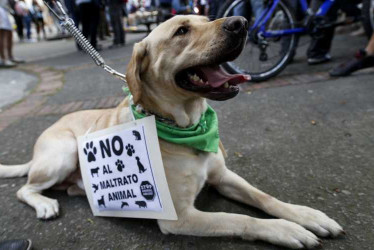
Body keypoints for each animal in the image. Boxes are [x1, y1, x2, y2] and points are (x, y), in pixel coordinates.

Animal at [0, 15, 344, 248]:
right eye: (182, 31)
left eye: (207, 19)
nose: (241, 22)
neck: (187, 125)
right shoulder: (181, 216)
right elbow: (241, 218)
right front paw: (285, 230)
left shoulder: (222, 175)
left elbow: (265, 198)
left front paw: (306, 216)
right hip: (65, 152)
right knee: (24, 189)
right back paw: (45, 204)